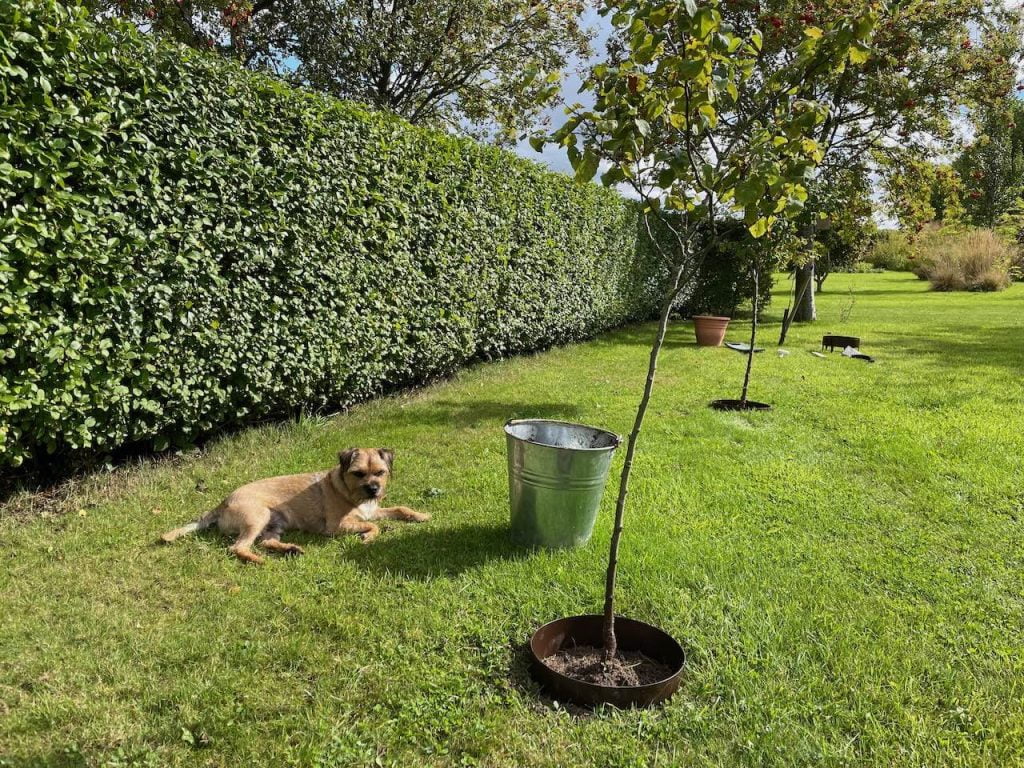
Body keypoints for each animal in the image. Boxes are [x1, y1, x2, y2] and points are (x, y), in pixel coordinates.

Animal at [161, 448, 425, 569]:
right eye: (358, 473)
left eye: (380, 472)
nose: (373, 489)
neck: (350, 493)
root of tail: (223, 502)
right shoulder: (337, 526)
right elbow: (371, 526)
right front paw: (368, 537)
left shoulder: (373, 509)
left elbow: (399, 508)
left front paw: (420, 515)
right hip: (258, 516)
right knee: (238, 547)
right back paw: (257, 560)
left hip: (274, 522)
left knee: (266, 541)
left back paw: (290, 549)